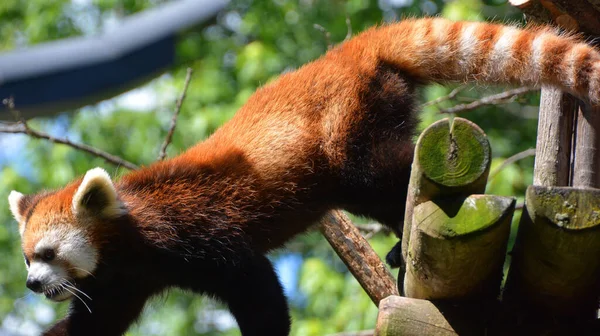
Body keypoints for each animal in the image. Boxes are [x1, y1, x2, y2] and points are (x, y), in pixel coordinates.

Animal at [7, 18, 600, 336]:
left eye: (50, 254)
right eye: (28, 258)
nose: (33, 285)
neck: (132, 243)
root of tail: (350, 49)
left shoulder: (197, 234)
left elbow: (257, 287)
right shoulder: (123, 282)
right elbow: (93, 324)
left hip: (351, 132)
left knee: (385, 174)